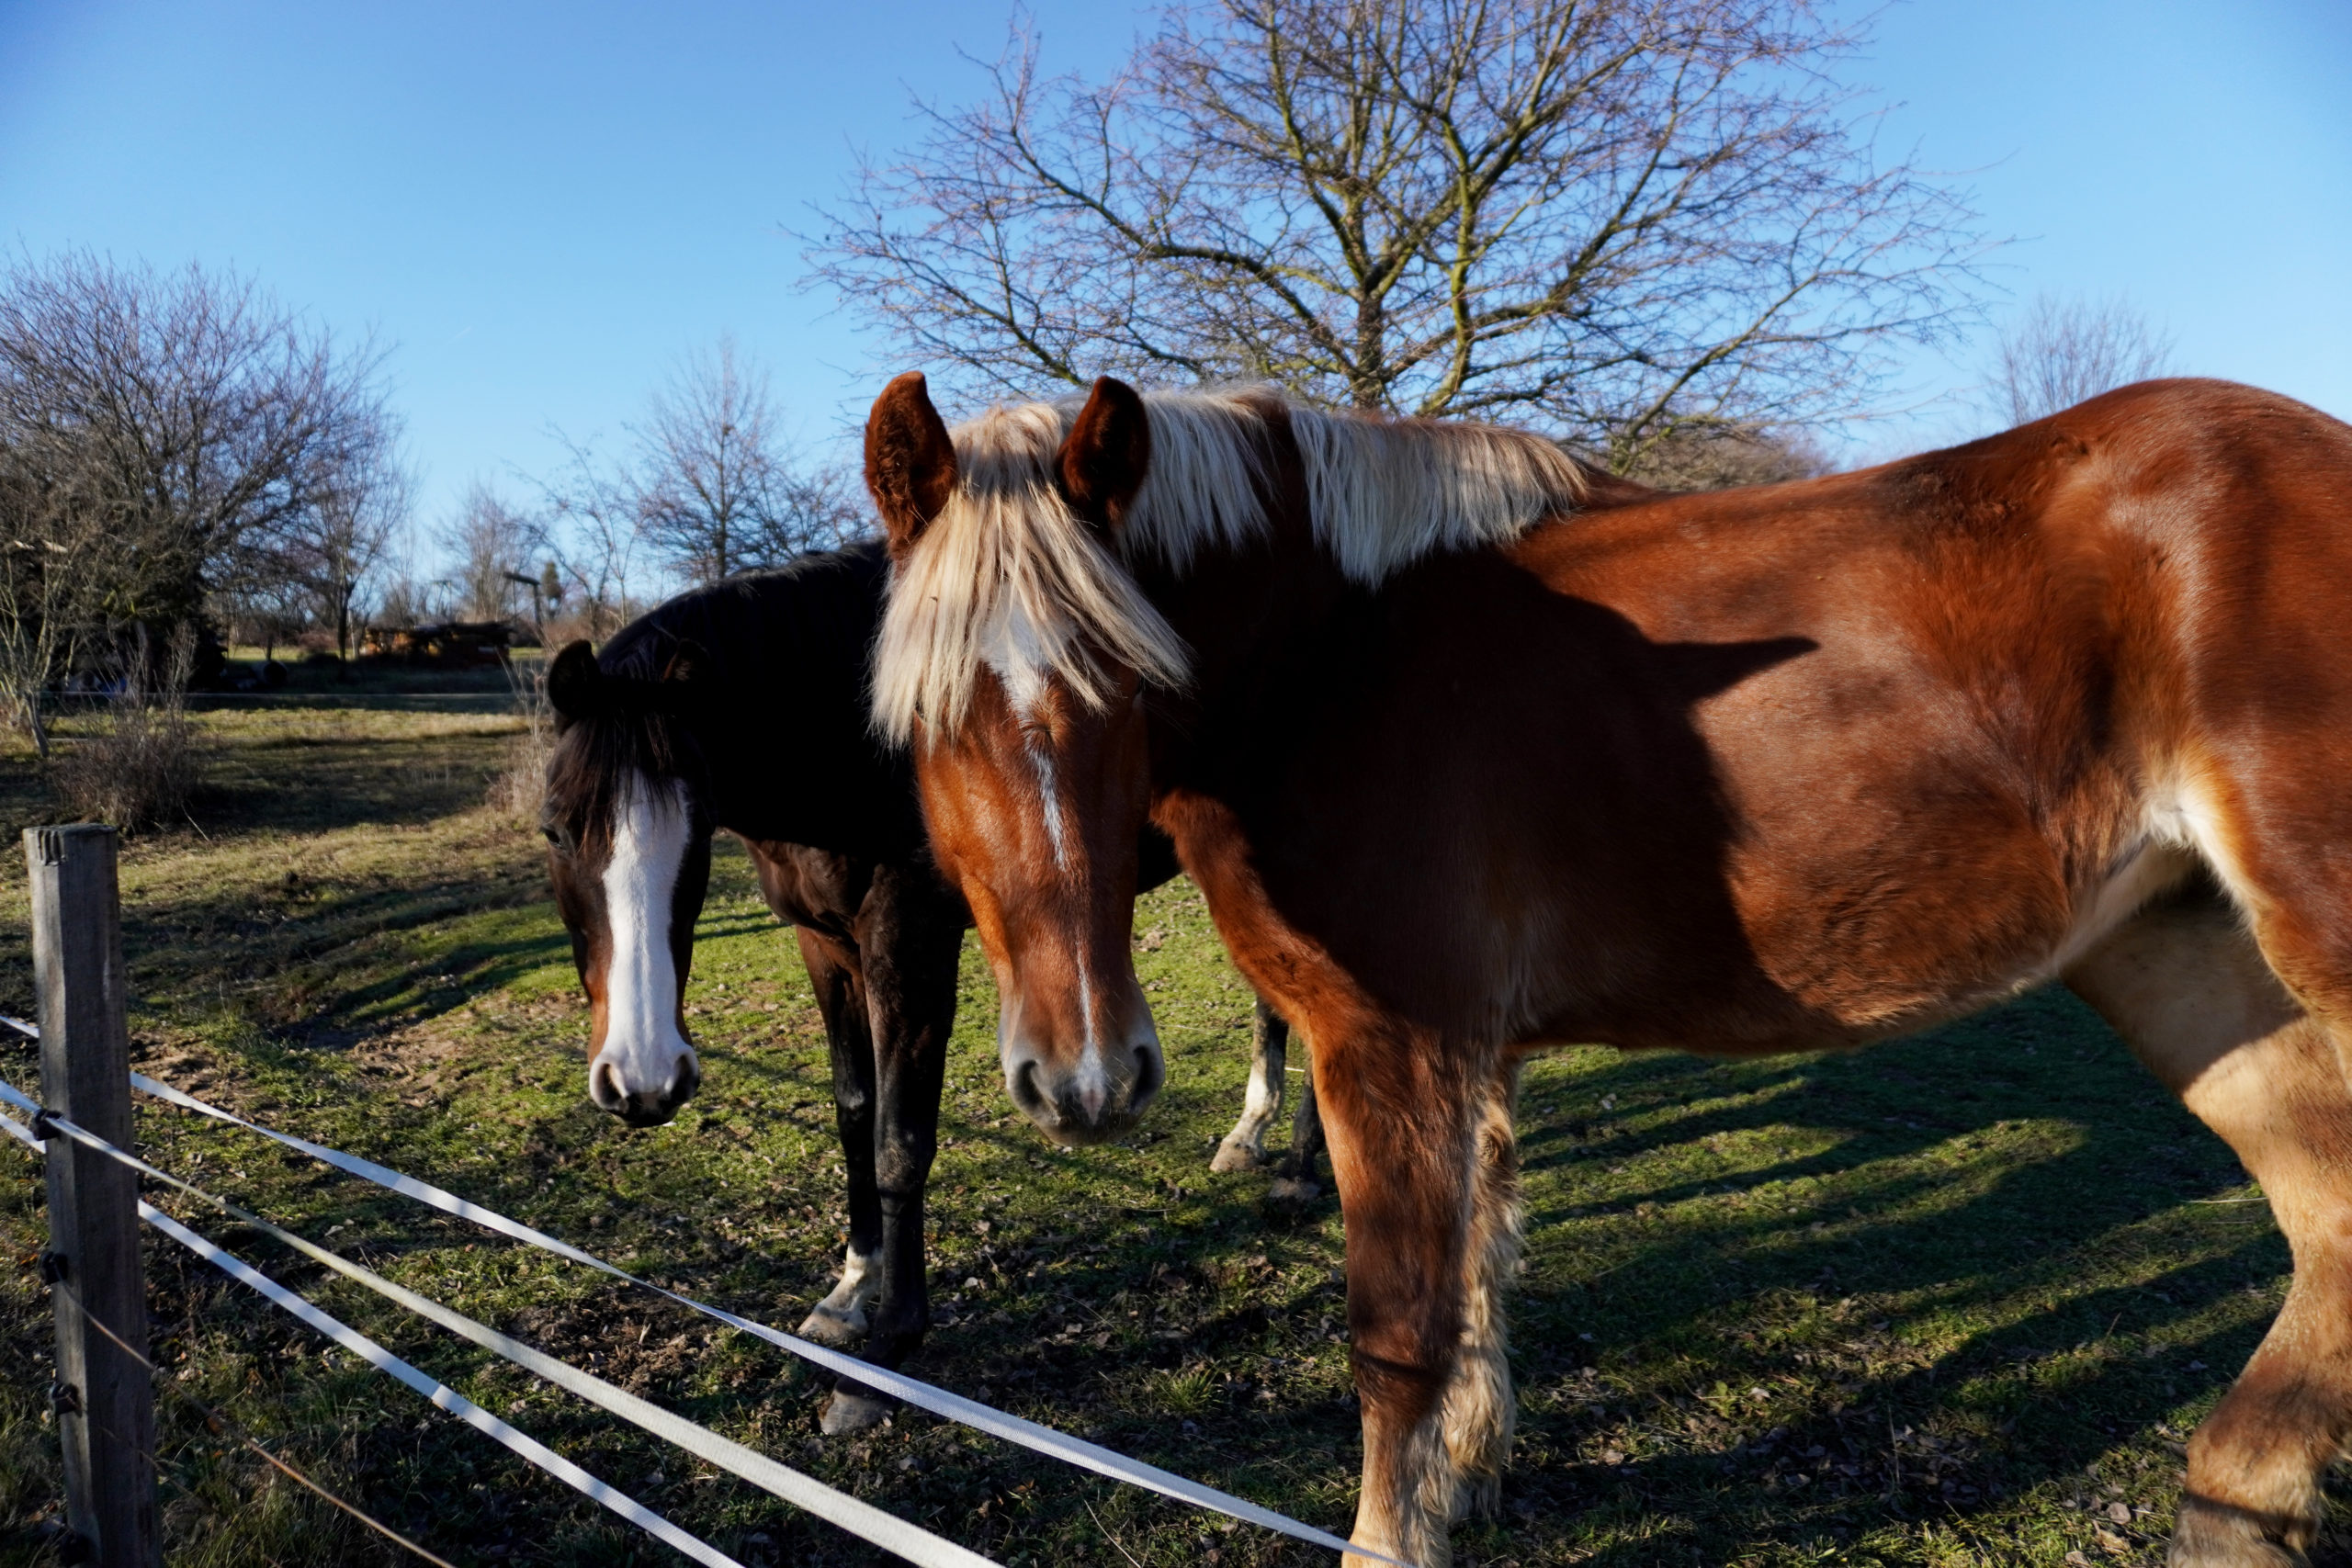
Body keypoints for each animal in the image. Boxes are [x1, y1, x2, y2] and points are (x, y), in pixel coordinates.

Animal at [538, 543, 1326, 1438]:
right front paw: (850, 1288)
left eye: (697, 823)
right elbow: (853, 1109)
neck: (844, 729)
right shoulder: (825, 945)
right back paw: (1249, 1135)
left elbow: (900, 1141)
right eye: (556, 829)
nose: (643, 1080)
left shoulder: (907, 942)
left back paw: (1302, 1169)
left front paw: (883, 1358)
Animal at [865, 371, 2352, 1568]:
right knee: (2328, 1220)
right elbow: (1477, 1293)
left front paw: (1392, 1532)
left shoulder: (1388, 1049)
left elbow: (1398, 1339)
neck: (1343, 655)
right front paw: (1464, 1487)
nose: (1085, 1079)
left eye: (1129, 679)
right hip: (2183, 960)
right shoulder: (1468, 1062)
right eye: (926, 719)